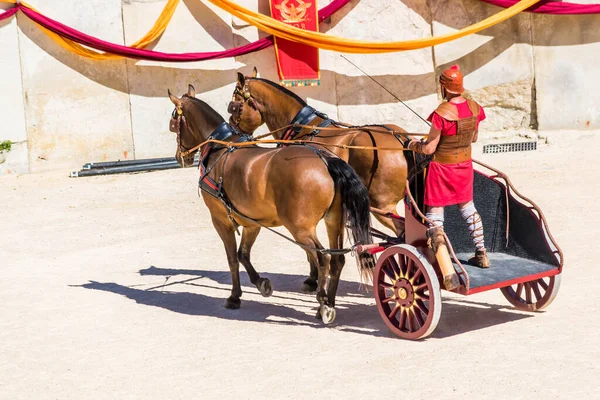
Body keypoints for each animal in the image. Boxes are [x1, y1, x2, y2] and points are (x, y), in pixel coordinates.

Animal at [169, 86, 372, 324]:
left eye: (173, 124)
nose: (180, 157)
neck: (221, 147)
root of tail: (324, 159)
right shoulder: (251, 222)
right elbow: (243, 254)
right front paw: (261, 283)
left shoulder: (221, 221)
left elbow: (232, 259)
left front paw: (234, 296)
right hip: (334, 222)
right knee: (337, 260)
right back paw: (329, 301)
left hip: (300, 228)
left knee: (323, 257)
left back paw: (323, 303)